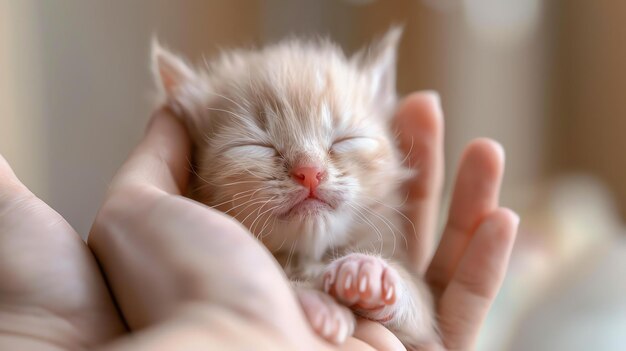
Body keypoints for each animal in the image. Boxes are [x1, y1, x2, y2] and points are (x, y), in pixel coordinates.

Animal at [149, 28, 436, 350]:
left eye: (344, 139)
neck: (306, 259)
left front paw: (367, 273)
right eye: (257, 145)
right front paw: (314, 301)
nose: (310, 172)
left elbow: (417, 299)